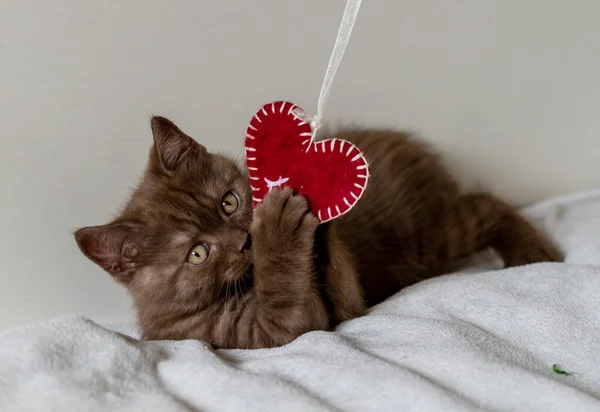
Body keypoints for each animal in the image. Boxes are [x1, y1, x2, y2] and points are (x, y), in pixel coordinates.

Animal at [75, 116, 564, 348]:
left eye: (228, 202)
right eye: (198, 253)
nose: (246, 240)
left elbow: (342, 283)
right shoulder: (263, 332)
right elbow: (298, 305)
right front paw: (281, 229)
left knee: (487, 205)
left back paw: (535, 254)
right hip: (427, 241)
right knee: (483, 205)